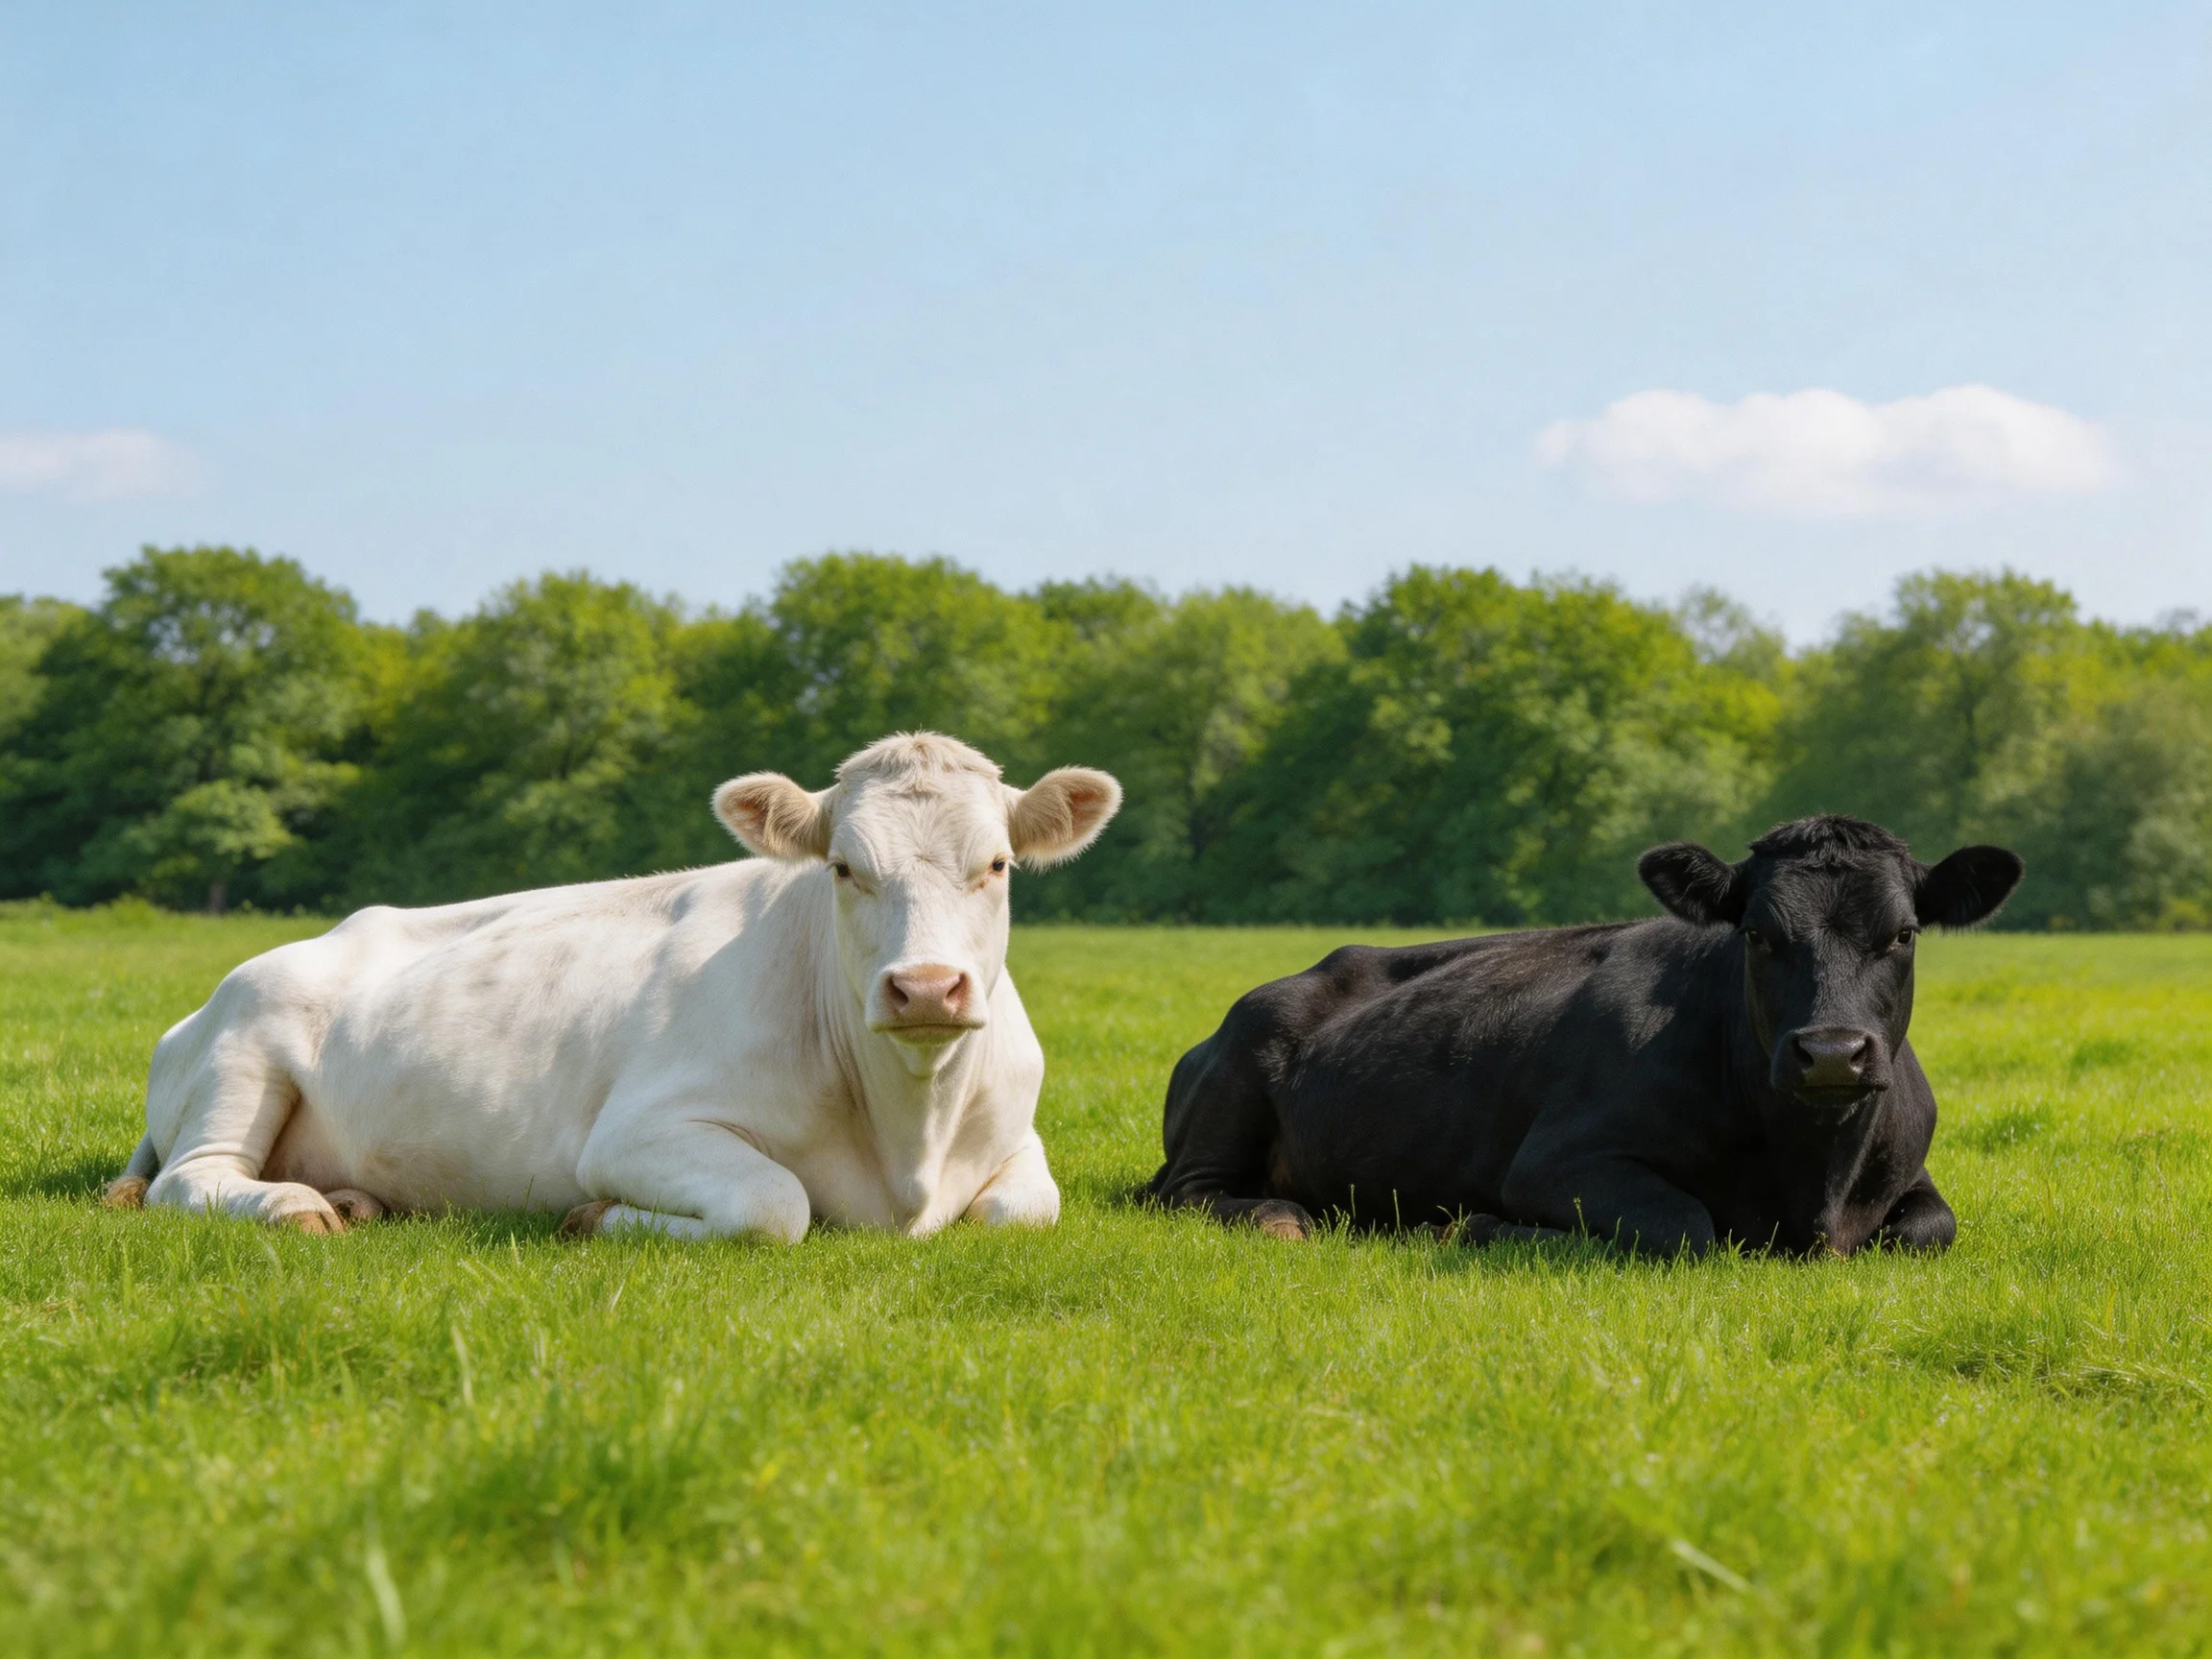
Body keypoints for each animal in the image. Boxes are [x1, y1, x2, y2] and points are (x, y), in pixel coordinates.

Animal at [101, 733, 1121, 1241]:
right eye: (842, 868)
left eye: (997, 864)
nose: (926, 989)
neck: (910, 1144)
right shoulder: (637, 1130)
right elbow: (774, 1207)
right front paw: (594, 1217)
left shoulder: (1019, 1137)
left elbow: (1018, 1212)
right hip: (246, 1052)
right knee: (191, 1180)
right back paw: (295, 1208)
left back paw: (354, 1200)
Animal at [1148, 816, 2023, 1257]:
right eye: (1757, 934)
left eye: (1904, 933)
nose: (1833, 1051)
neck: (1815, 1180)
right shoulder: (1559, 1158)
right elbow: (1687, 1227)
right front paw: (1479, 1225)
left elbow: (1930, 1231)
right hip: (1237, 1079)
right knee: (1186, 1193)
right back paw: (1278, 1216)